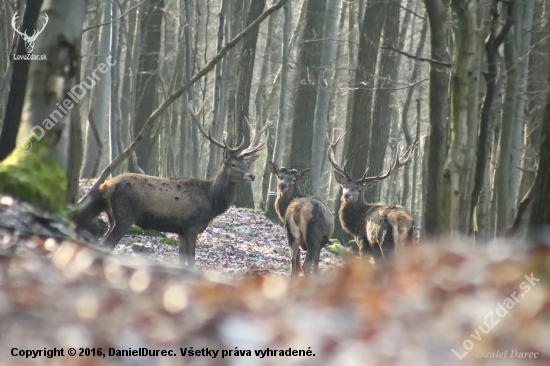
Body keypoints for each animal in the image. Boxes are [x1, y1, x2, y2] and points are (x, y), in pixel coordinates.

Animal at [92, 107, 268, 264]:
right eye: (233, 164)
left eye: (246, 164)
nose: (252, 176)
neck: (211, 202)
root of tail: (104, 186)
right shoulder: (192, 225)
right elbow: (191, 260)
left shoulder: (181, 230)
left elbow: (183, 260)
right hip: (125, 215)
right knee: (107, 244)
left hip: (112, 217)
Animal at [330, 133, 416, 262]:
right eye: (344, 186)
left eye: (359, 189)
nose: (346, 195)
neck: (354, 224)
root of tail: (402, 221)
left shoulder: (362, 241)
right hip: (410, 241)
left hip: (385, 242)